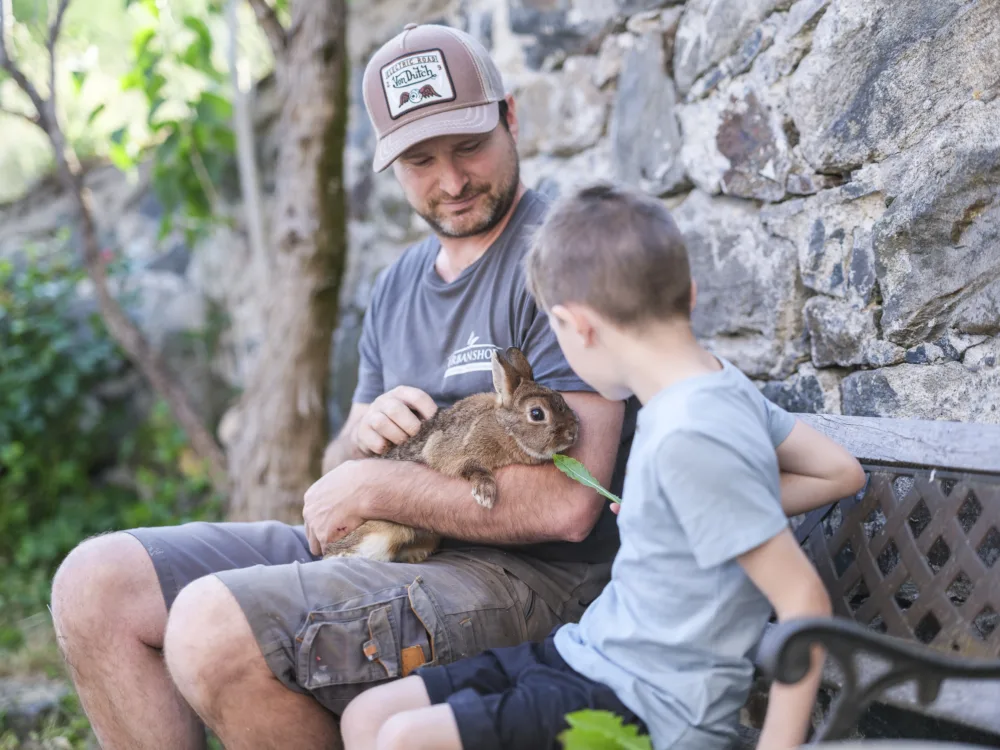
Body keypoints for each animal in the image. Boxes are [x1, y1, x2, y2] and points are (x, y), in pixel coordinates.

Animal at [324, 346, 584, 564]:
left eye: (562, 400)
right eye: (537, 413)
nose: (573, 433)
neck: (504, 427)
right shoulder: (449, 450)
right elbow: (469, 466)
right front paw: (485, 493)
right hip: (382, 532)